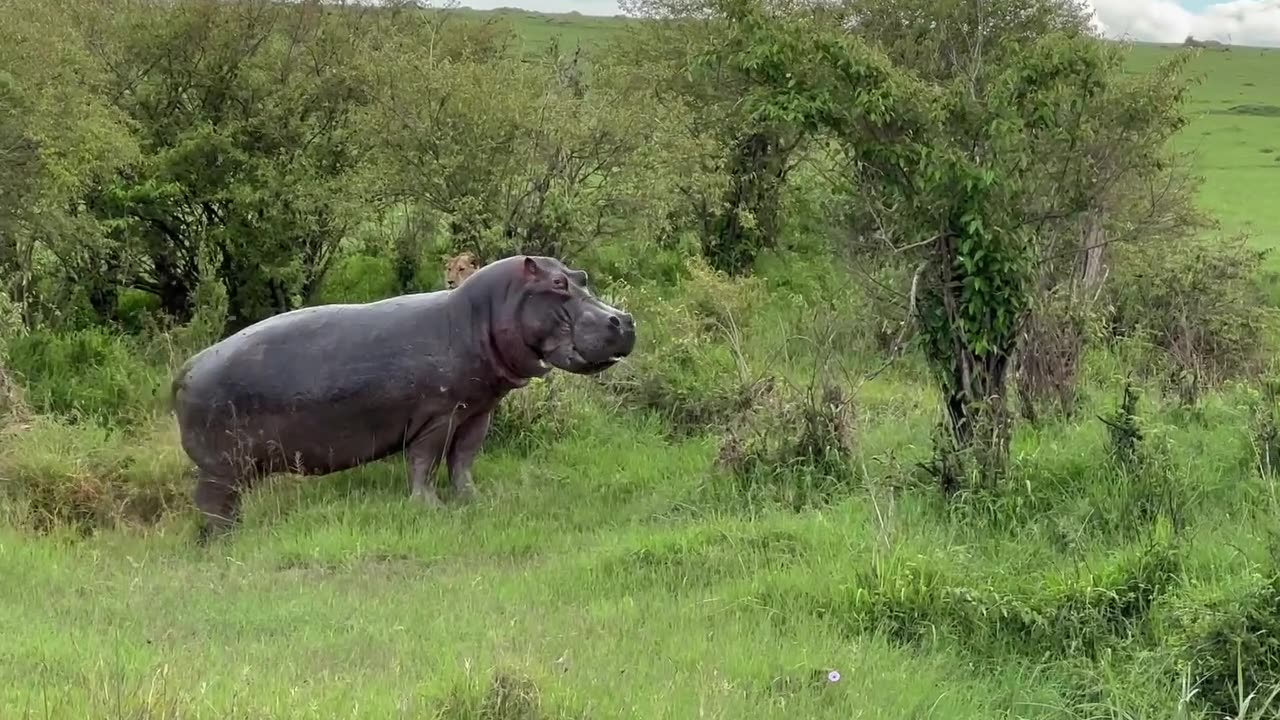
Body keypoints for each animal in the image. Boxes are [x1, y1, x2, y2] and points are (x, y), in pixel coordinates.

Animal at [167, 252, 637, 538]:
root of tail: (185, 369)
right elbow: (424, 463)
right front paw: (431, 509)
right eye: (557, 283)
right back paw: (226, 538)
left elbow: (463, 461)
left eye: (581, 277)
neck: (477, 316)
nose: (625, 319)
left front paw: (472, 500)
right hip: (220, 467)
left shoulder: (476, 413)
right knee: (210, 503)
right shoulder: (437, 416)